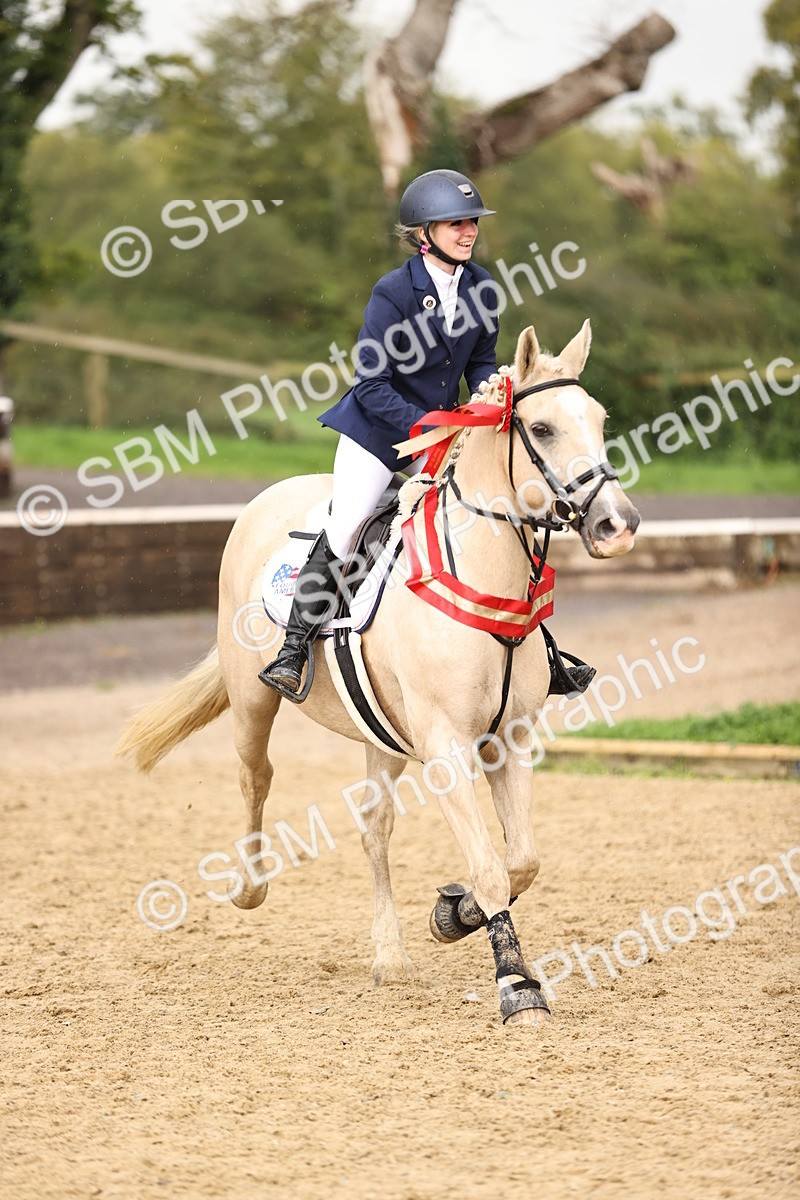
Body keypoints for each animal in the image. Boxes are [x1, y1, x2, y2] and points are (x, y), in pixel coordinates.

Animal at [117, 319, 640, 1027]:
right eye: (543, 428)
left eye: (600, 420)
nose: (618, 525)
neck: (490, 576)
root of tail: (266, 497)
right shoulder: (447, 745)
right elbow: (490, 866)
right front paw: (517, 986)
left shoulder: (509, 740)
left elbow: (520, 861)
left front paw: (453, 915)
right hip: (254, 701)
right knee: (256, 777)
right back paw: (250, 888)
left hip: (382, 732)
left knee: (373, 829)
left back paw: (389, 956)